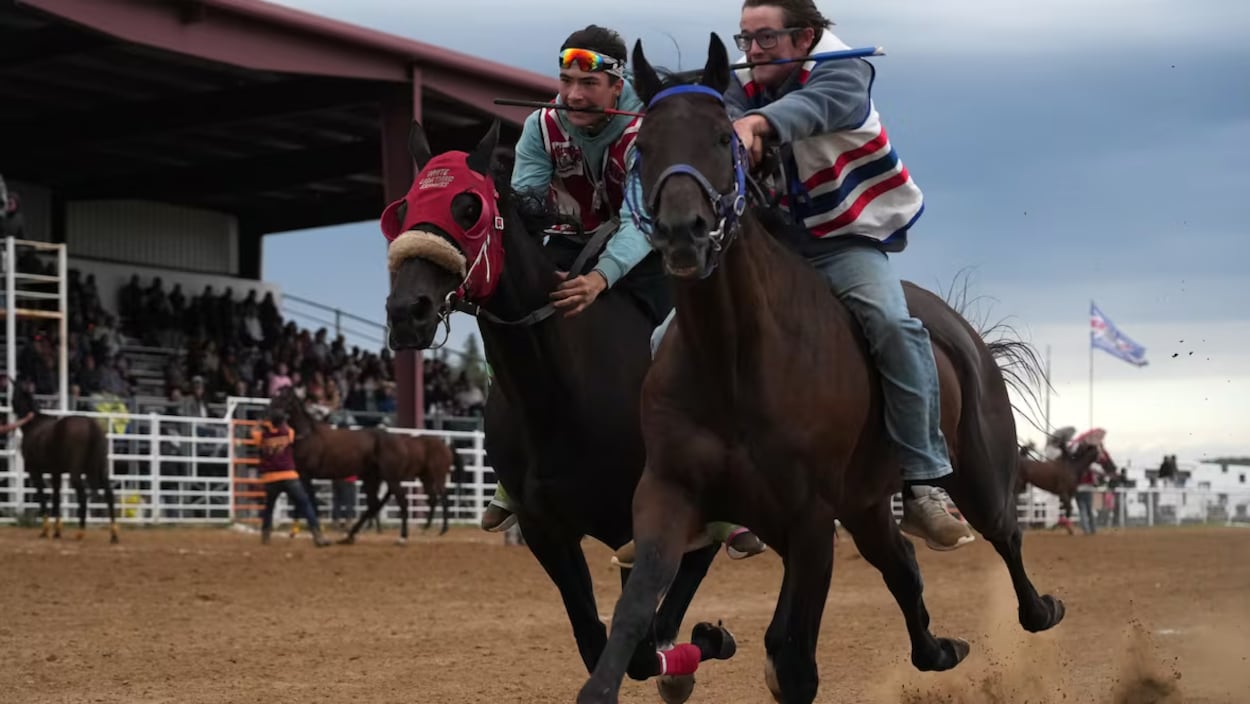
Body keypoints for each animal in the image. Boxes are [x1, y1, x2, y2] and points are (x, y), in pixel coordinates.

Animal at [12, 384, 117, 543]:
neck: (34, 424)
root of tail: (90, 424)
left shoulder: (34, 471)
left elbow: (43, 498)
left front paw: (45, 531)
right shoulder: (56, 473)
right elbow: (56, 499)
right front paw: (57, 532)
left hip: (76, 473)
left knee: (83, 495)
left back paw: (80, 532)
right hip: (100, 469)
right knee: (109, 494)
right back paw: (113, 535)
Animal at [268, 387, 411, 544]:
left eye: (284, 398)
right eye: (275, 396)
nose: (269, 415)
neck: (308, 436)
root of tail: (398, 441)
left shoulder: (306, 475)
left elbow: (309, 502)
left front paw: (316, 534)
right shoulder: (302, 476)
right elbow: (303, 502)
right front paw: (297, 532)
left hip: (391, 478)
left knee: (402, 502)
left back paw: (402, 538)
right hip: (371, 478)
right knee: (373, 504)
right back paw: (349, 536)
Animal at [383, 119, 722, 697]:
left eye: (469, 208)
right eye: (404, 208)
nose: (408, 311)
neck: (562, 392)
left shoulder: (642, 518)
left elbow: (639, 637)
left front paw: (692, 649)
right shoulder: (544, 527)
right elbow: (593, 635)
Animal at [575, 35, 1066, 704]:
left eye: (723, 137)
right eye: (643, 146)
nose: (683, 232)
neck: (734, 364)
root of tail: (961, 330)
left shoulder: (809, 520)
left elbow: (792, 658)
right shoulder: (669, 492)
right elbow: (632, 616)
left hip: (980, 471)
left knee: (1005, 537)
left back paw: (1039, 609)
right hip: (865, 505)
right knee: (902, 567)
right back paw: (939, 649)